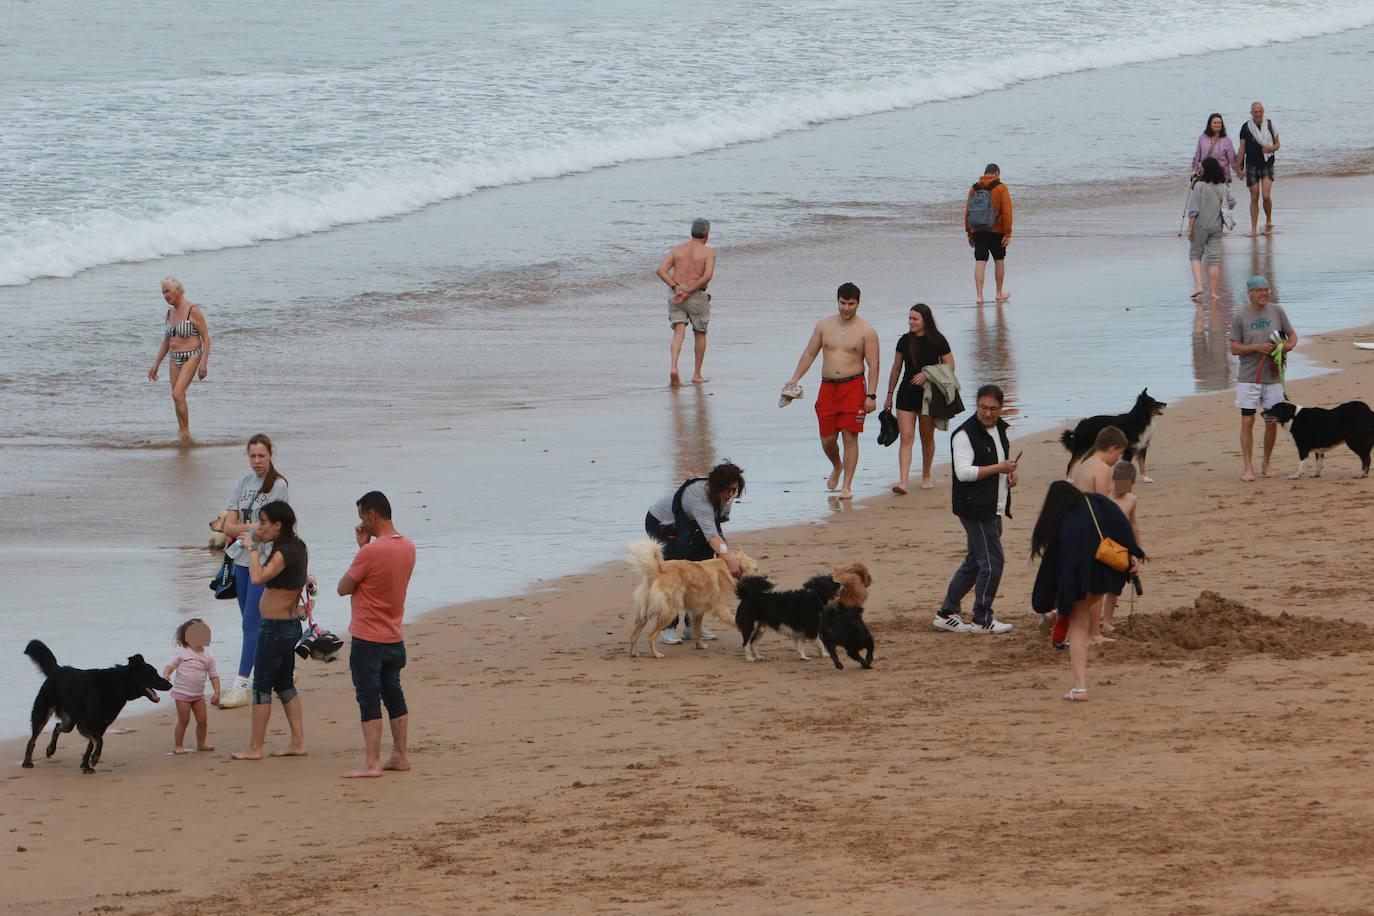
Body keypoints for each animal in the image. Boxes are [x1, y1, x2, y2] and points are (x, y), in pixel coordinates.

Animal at [23, 642, 170, 780]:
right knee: (33, 739)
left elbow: (91, 745)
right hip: (42, 714)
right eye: (152, 674)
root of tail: (57, 669)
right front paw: (94, 759)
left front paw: (86, 765)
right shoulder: (85, 724)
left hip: (69, 722)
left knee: (58, 726)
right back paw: (27, 762)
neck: (117, 685)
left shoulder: (100, 726)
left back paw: (50, 749)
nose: (170, 684)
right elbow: (99, 741)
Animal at [626, 538, 758, 659]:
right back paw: (656, 654)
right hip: (670, 611)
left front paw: (699, 645)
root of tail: (657, 569)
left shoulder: (698, 611)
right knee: (650, 636)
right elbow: (737, 623)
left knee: (634, 635)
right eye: (756, 569)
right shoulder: (720, 609)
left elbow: (697, 630)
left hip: (645, 613)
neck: (728, 569)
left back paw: (634, 652)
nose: (763, 577)